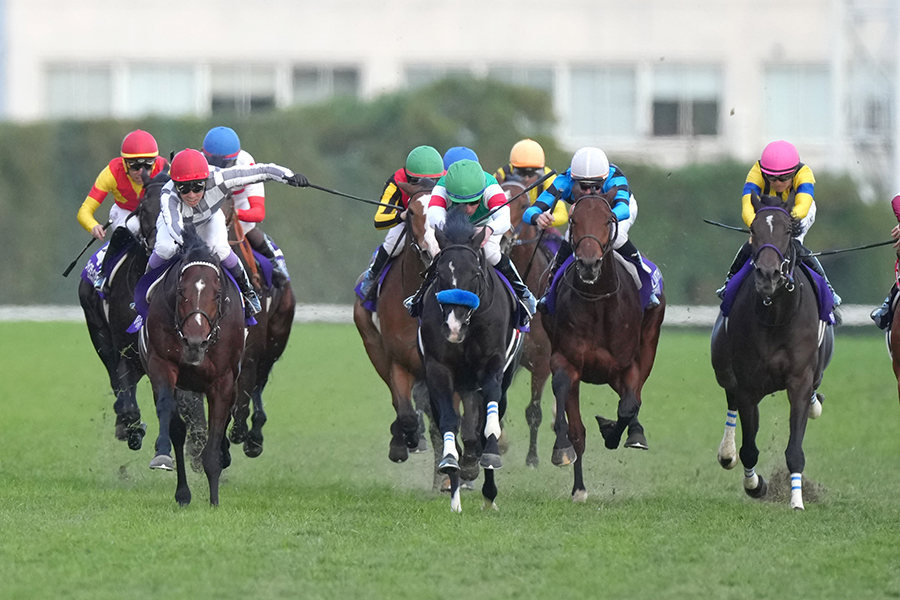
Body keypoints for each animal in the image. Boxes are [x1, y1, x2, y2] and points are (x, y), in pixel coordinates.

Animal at [138, 225, 244, 506]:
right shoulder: (162, 364)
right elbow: (169, 414)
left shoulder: (223, 381)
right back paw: (182, 492)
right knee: (178, 427)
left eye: (216, 295)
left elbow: (217, 426)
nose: (195, 341)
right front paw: (162, 456)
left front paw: (214, 500)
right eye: (181, 292)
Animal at [420, 210, 524, 510]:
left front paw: (488, 456)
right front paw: (452, 465)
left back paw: (488, 493)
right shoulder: (437, 369)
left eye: (475, 273)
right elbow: (448, 420)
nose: (453, 328)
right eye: (439, 273)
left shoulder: (493, 366)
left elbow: (488, 423)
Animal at [536, 191, 664, 502]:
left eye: (608, 220)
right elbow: (573, 425)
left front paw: (614, 433)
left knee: (634, 397)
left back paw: (634, 433)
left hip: (648, 346)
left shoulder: (627, 366)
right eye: (573, 220)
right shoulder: (565, 361)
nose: (589, 264)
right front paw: (566, 459)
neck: (598, 305)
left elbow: (629, 406)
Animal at [712, 193, 832, 510]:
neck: (776, 315)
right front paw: (755, 485)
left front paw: (797, 501)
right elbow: (749, 449)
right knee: (730, 397)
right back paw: (726, 453)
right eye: (753, 230)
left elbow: (795, 450)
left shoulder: (799, 381)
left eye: (788, 231)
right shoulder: (748, 386)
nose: (768, 275)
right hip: (723, 367)